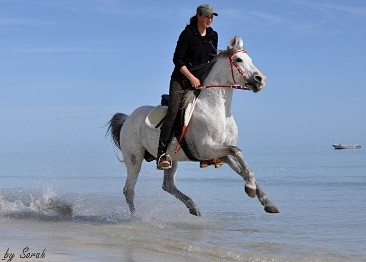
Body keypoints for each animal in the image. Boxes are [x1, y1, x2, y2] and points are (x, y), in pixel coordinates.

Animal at [107, 36, 278, 217]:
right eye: (239, 59)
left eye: (250, 60)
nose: (261, 79)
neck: (217, 110)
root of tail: (127, 118)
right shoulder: (205, 148)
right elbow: (237, 151)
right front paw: (250, 187)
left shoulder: (222, 152)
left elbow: (243, 165)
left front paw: (266, 200)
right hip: (134, 158)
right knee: (129, 190)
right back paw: (136, 217)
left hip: (170, 159)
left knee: (168, 185)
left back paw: (193, 207)